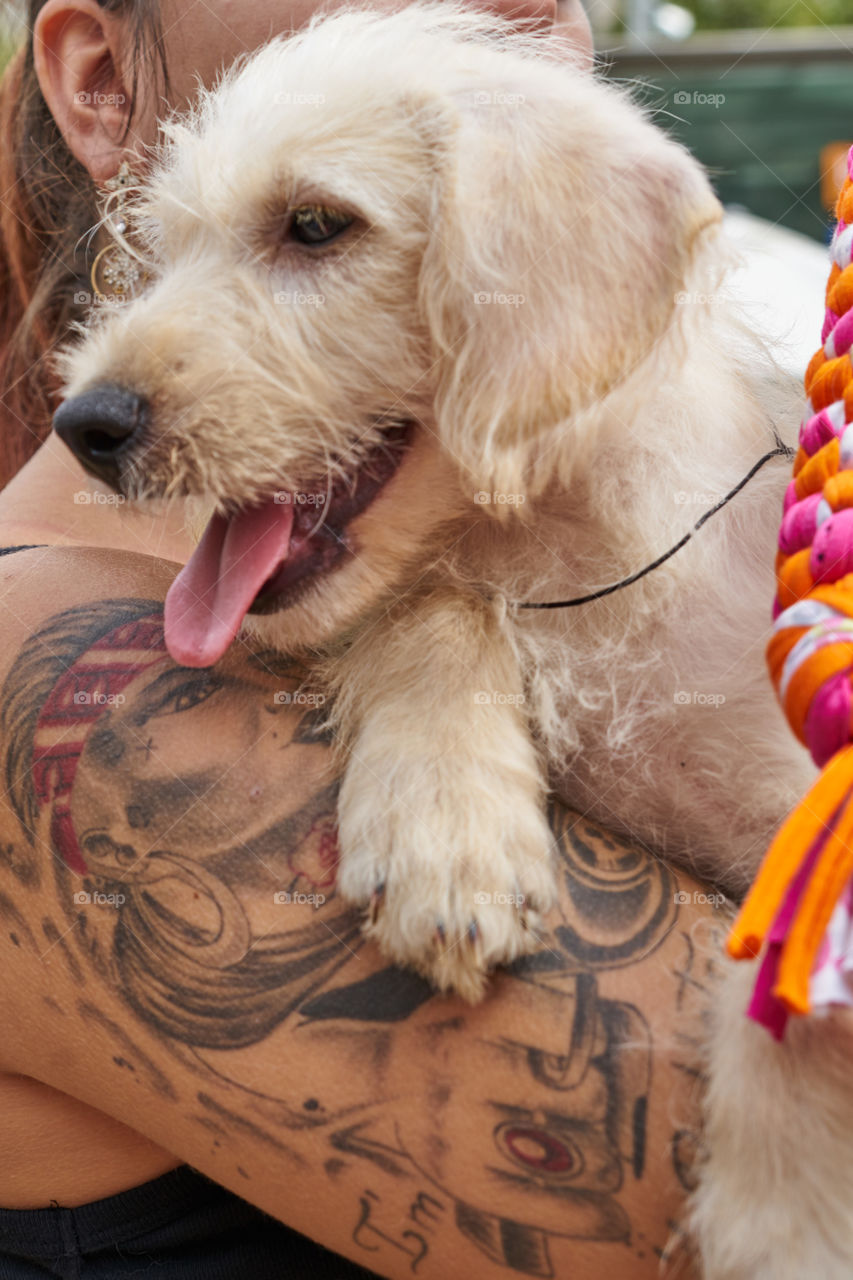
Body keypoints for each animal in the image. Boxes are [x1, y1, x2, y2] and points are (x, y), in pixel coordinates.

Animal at [54, 5, 850, 1274]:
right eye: (162, 251)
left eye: (315, 225)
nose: (84, 423)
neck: (565, 571)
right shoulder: (436, 599)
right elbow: (431, 609)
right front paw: (446, 824)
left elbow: (799, 970)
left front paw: (790, 1227)